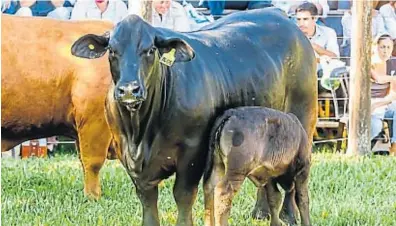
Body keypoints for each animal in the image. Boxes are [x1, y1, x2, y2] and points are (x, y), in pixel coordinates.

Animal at [71, 7, 318, 226]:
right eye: (112, 50)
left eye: (150, 50)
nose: (129, 90)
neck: (140, 134)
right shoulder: (128, 156)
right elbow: (147, 199)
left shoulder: (192, 152)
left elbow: (183, 194)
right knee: (267, 181)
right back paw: (261, 212)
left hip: (303, 121)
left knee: (291, 184)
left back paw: (288, 215)